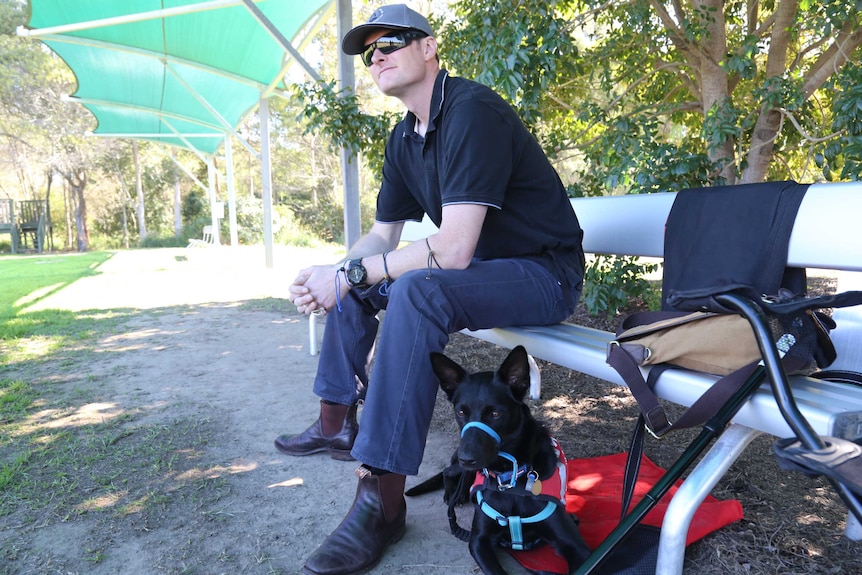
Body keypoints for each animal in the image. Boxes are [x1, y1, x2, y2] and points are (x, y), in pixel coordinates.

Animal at [408, 346, 592, 575]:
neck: (509, 480)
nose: (466, 458)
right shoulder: (478, 541)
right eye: (461, 411)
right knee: (448, 471)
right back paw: (453, 494)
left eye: (495, 413)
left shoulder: (578, 549)